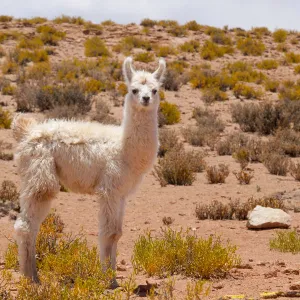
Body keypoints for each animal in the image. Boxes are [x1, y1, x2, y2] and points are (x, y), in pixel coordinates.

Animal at [12, 56, 165, 286]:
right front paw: (108, 280)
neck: (124, 150)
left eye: (155, 90)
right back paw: (31, 278)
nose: (146, 98)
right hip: (39, 174)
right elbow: (109, 234)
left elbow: (117, 233)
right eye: (134, 90)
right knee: (26, 224)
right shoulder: (108, 189)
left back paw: (31, 275)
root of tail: (27, 131)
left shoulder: (121, 194)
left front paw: (113, 277)